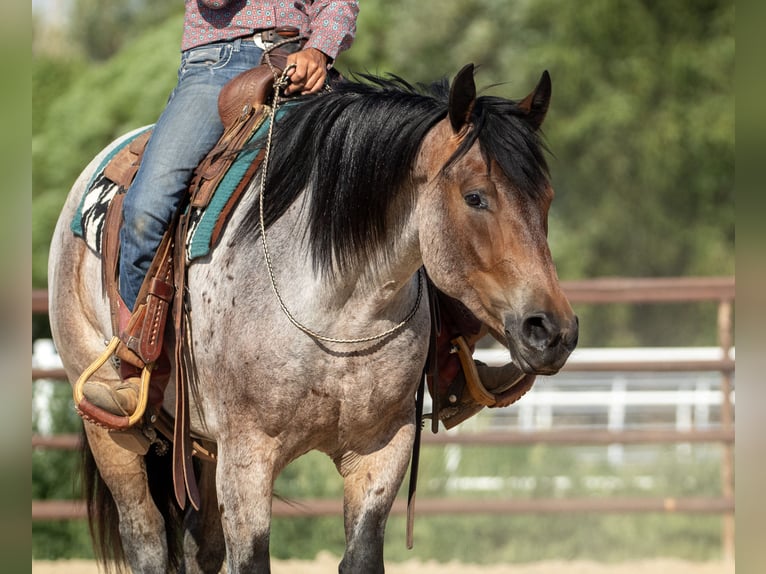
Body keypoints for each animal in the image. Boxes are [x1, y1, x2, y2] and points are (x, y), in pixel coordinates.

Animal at [46, 65, 576, 572]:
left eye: (548, 199)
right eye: (475, 197)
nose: (554, 331)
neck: (340, 310)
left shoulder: (381, 448)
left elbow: (360, 556)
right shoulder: (247, 459)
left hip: (200, 444)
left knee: (202, 549)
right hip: (112, 433)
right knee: (147, 540)